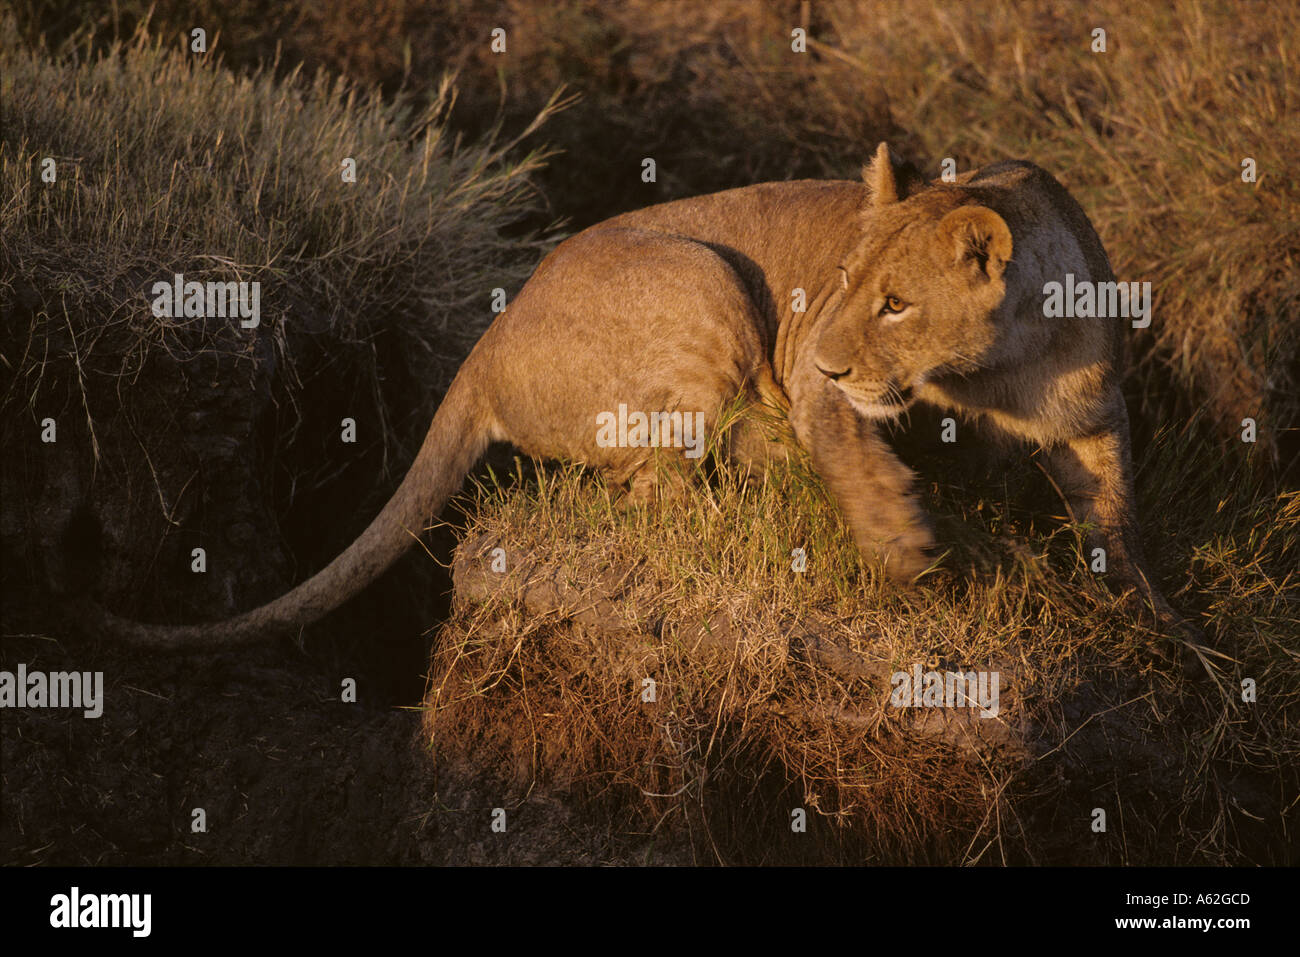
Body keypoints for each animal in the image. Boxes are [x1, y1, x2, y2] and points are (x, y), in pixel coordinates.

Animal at [82, 143, 1199, 653]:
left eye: (895, 303)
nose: (842, 364)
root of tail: (486, 342)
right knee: (656, 481)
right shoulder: (806, 366)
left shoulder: (1091, 417)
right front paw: (898, 537)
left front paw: (1157, 623)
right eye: (841, 283)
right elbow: (848, 449)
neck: (994, 371)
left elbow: (1117, 518)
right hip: (706, 283)